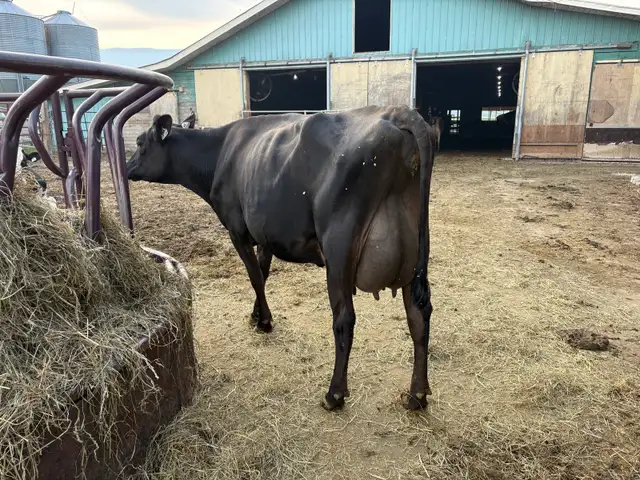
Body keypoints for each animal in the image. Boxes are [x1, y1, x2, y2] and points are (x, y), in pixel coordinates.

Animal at [126, 105, 441, 411]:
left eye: (140, 143)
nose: (127, 167)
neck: (219, 153)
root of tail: (397, 112)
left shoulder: (237, 229)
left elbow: (254, 276)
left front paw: (264, 321)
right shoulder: (264, 234)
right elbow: (263, 274)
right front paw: (256, 315)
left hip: (339, 247)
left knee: (344, 318)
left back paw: (334, 394)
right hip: (413, 253)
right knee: (418, 314)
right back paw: (417, 395)